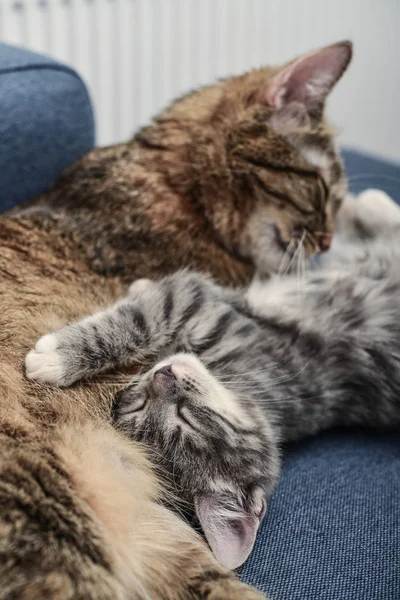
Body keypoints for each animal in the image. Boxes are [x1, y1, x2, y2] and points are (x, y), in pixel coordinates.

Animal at [26, 190, 400, 576]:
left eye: (185, 417)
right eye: (140, 404)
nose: (162, 375)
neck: (247, 388)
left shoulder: (200, 302)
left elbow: (141, 320)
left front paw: (56, 357)